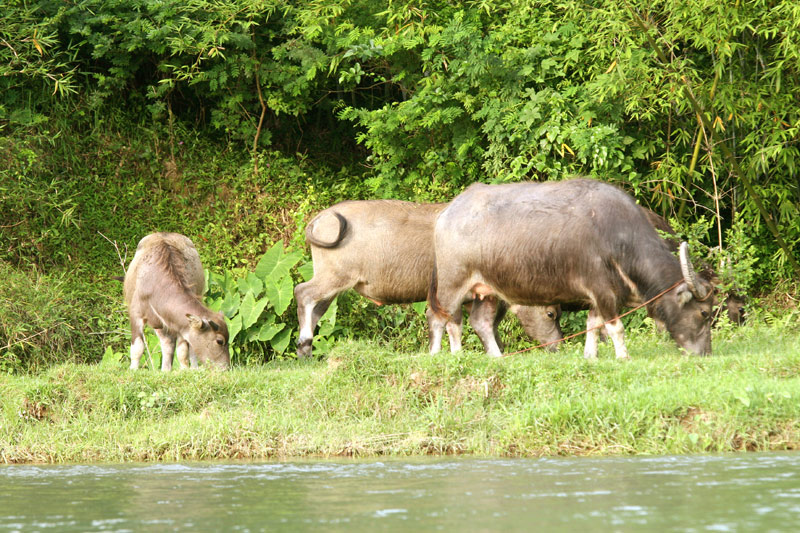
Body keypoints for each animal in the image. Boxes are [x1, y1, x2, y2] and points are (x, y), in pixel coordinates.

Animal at [124, 231, 231, 372]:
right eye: (219, 341)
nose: (225, 368)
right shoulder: (136, 314)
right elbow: (138, 347)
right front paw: (133, 369)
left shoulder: (181, 324)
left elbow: (183, 352)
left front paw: (185, 370)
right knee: (166, 343)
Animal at [294, 197, 564, 356]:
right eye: (551, 313)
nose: (558, 344)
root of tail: (321, 218)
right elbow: (457, 324)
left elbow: (465, 324)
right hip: (334, 276)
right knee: (302, 292)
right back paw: (304, 343)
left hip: (332, 284)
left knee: (316, 308)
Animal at [428, 179, 716, 358]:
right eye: (704, 313)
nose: (705, 353)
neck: (617, 238)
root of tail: (447, 213)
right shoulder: (602, 290)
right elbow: (615, 327)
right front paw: (623, 356)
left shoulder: (600, 296)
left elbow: (593, 325)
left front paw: (590, 356)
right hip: (452, 284)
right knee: (443, 318)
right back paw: (447, 353)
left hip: (486, 290)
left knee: (481, 322)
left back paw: (497, 357)